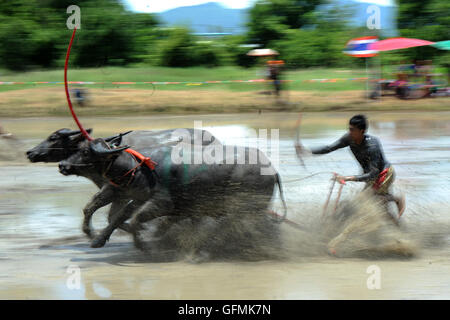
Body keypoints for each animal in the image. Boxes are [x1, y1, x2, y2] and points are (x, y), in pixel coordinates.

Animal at [58, 139, 286, 249]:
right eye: (79, 148)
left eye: (86, 152)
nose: (62, 164)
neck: (141, 168)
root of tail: (273, 171)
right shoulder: (133, 196)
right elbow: (115, 217)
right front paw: (97, 239)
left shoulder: (163, 204)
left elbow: (135, 219)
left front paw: (143, 245)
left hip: (245, 208)